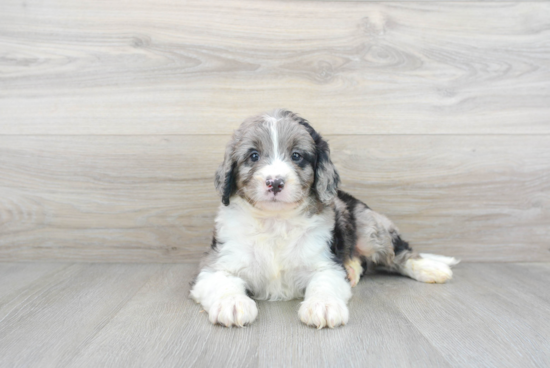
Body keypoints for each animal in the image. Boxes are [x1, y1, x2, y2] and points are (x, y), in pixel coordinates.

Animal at [191, 109, 462, 328]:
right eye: (253, 155)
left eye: (297, 155)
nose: (275, 182)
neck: (276, 221)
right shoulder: (217, 264)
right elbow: (222, 281)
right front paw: (232, 304)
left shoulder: (326, 263)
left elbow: (323, 283)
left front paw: (323, 306)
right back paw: (354, 268)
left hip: (368, 226)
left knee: (399, 252)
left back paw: (430, 268)